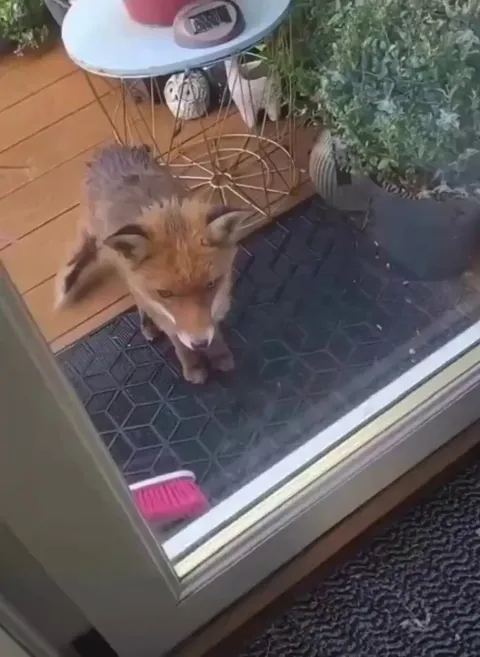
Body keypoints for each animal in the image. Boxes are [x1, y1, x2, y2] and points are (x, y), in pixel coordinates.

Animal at [55, 144, 248, 384]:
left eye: (211, 284)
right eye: (165, 293)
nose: (200, 343)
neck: (166, 216)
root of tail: (108, 149)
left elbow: (214, 324)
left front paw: (219, 353)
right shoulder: (161, 309)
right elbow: (177, 340)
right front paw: (193, 367)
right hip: (124, 267)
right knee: (138, 297)